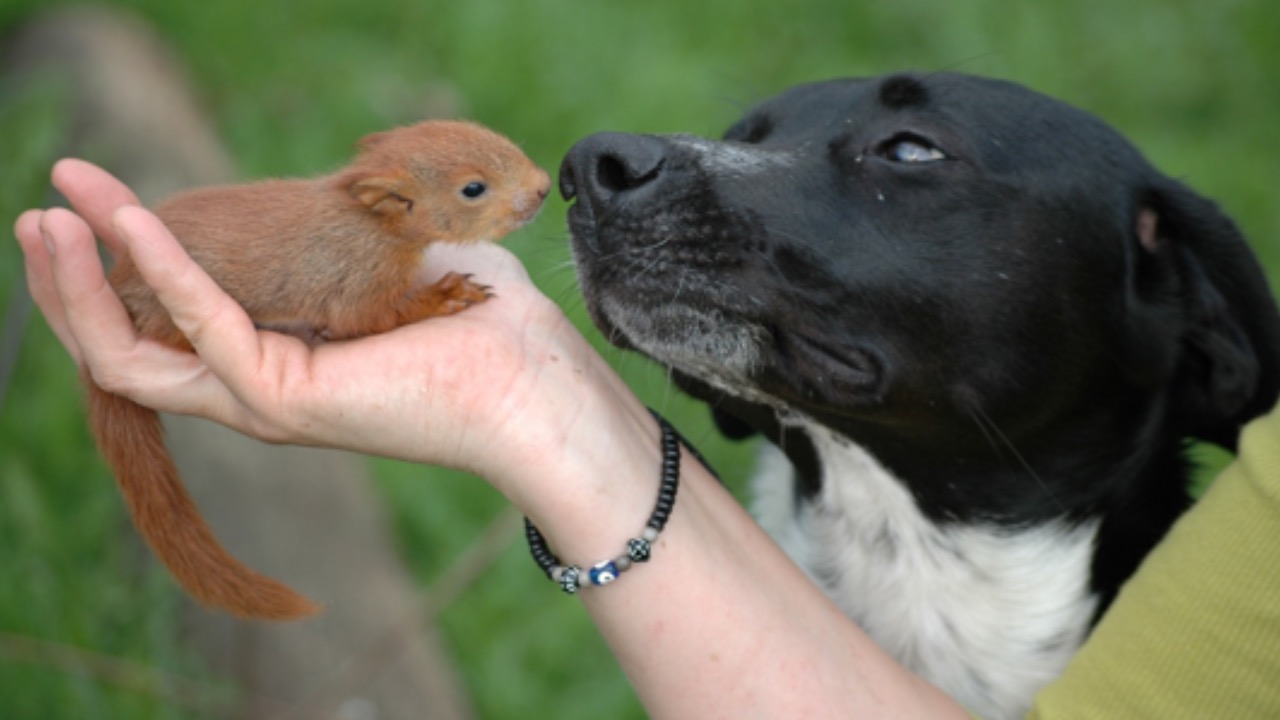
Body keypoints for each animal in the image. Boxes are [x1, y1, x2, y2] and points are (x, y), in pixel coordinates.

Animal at [90, 120, 550, 620]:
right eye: (473, 189)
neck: (373, 225)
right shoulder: (357, 279)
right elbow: (367, 317)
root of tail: (120, 284)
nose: (544, 186)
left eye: (492, 135)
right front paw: (447, 294)